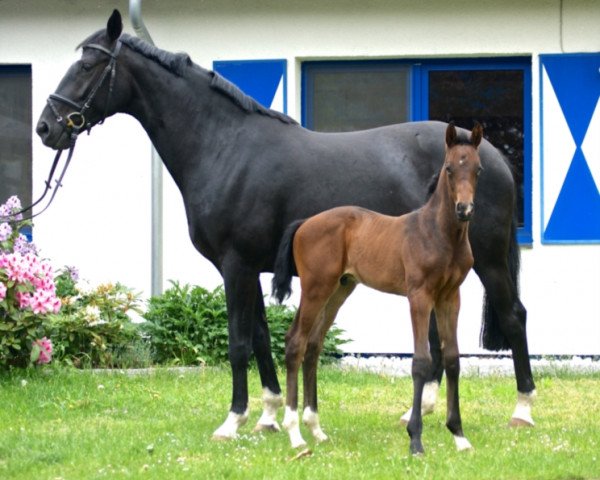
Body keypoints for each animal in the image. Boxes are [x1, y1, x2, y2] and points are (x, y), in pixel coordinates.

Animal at [35, 10, 536, 438]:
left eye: (88, 64)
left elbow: (238, 343)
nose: (46, 127)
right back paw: (423, 409)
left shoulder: (235, 265)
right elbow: (260, 337)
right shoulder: (247, 267)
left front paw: (232, 420)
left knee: (514, 317)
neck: (225, 147)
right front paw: (270, 414)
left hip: (489, 261)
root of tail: (491, 154)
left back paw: (523, 410)